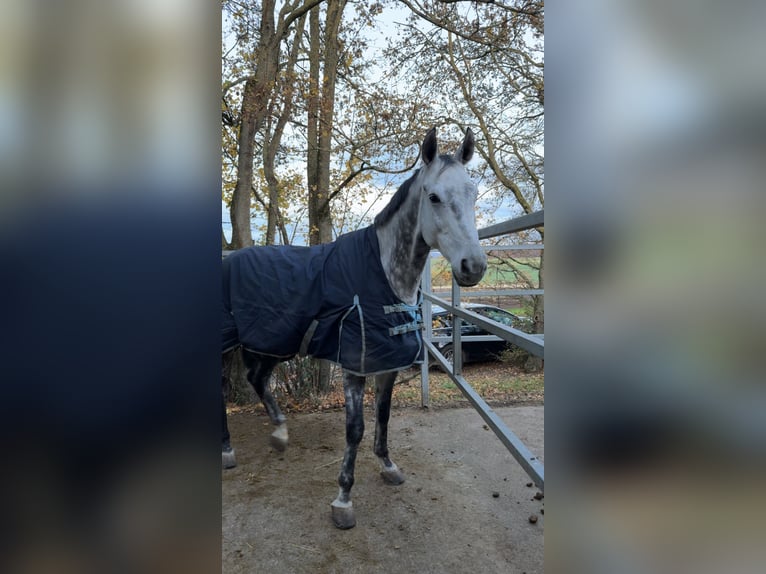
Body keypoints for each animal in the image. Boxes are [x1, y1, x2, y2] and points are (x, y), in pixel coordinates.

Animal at [221, 127, 487, 529]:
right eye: (434, 197)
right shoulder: (354, 367)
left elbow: (384, 417)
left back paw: (280, 434)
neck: (383, 275)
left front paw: (389, 467)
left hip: (273, 342)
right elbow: (355, 429)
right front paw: (343, 499)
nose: (473, 267)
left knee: (257, 378)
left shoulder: (386, 365)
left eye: (472, 192)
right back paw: (227, 451)